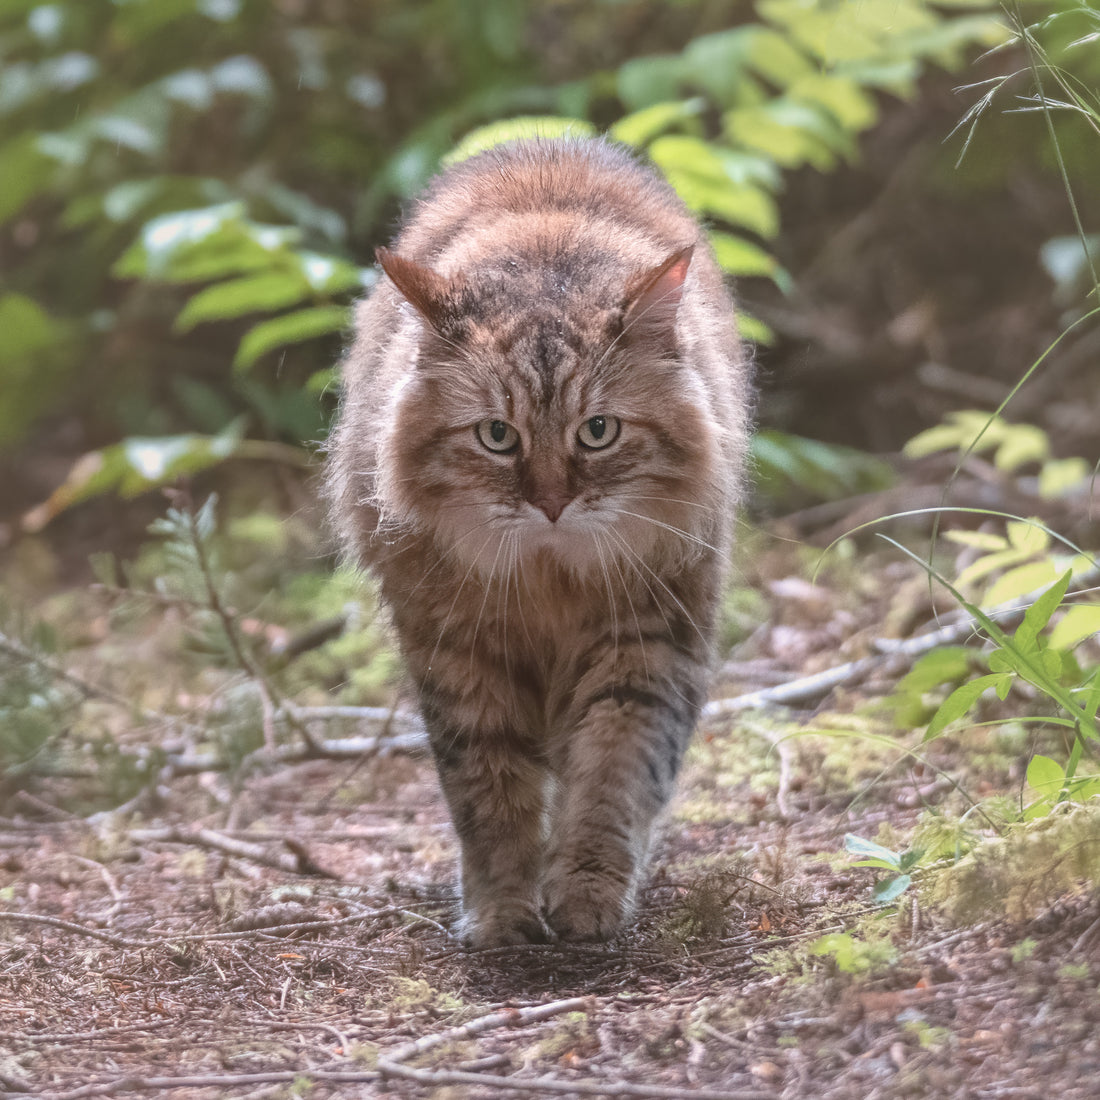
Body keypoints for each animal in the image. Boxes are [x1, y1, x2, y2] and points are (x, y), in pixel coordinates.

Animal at [325, 137, 752, 946]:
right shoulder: (461, 658)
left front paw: (586, 896)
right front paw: (503, 912)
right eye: (497, 436)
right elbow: (489, 796)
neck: (552, 573)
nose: (551, 504)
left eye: (598, 431)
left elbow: (613, 780)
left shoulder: (645, 647)